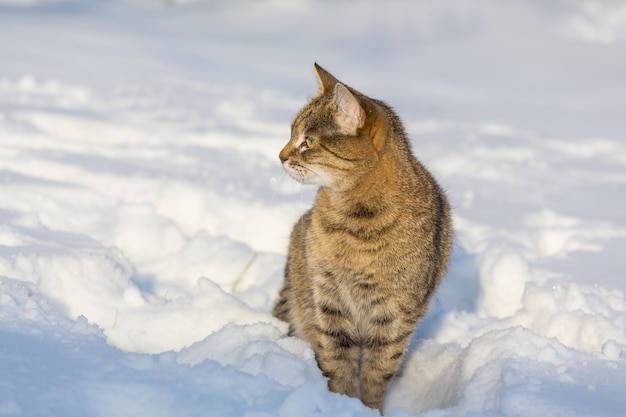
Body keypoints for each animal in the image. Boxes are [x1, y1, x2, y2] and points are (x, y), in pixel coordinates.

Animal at [270, 63, 450, 412]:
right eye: (291, 133)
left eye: (308, 140)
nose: (281, 156)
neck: (354, 223)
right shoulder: (329, 297)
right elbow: (337, 357)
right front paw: (341, 402)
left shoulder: (395, 314)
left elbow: (378, 371)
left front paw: (368, 409)